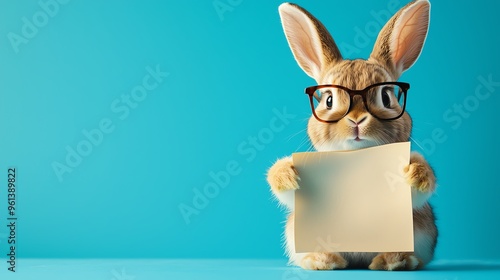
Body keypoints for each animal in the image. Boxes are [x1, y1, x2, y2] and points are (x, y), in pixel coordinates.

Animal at [266, 0, 438, 272]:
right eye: (328, 100)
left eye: (386, 96)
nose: (356, 120)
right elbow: (286, 192)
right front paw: (287, 175)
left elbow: (419, 190)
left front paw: (415, 173)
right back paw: (322, 260)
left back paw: (395, 260)